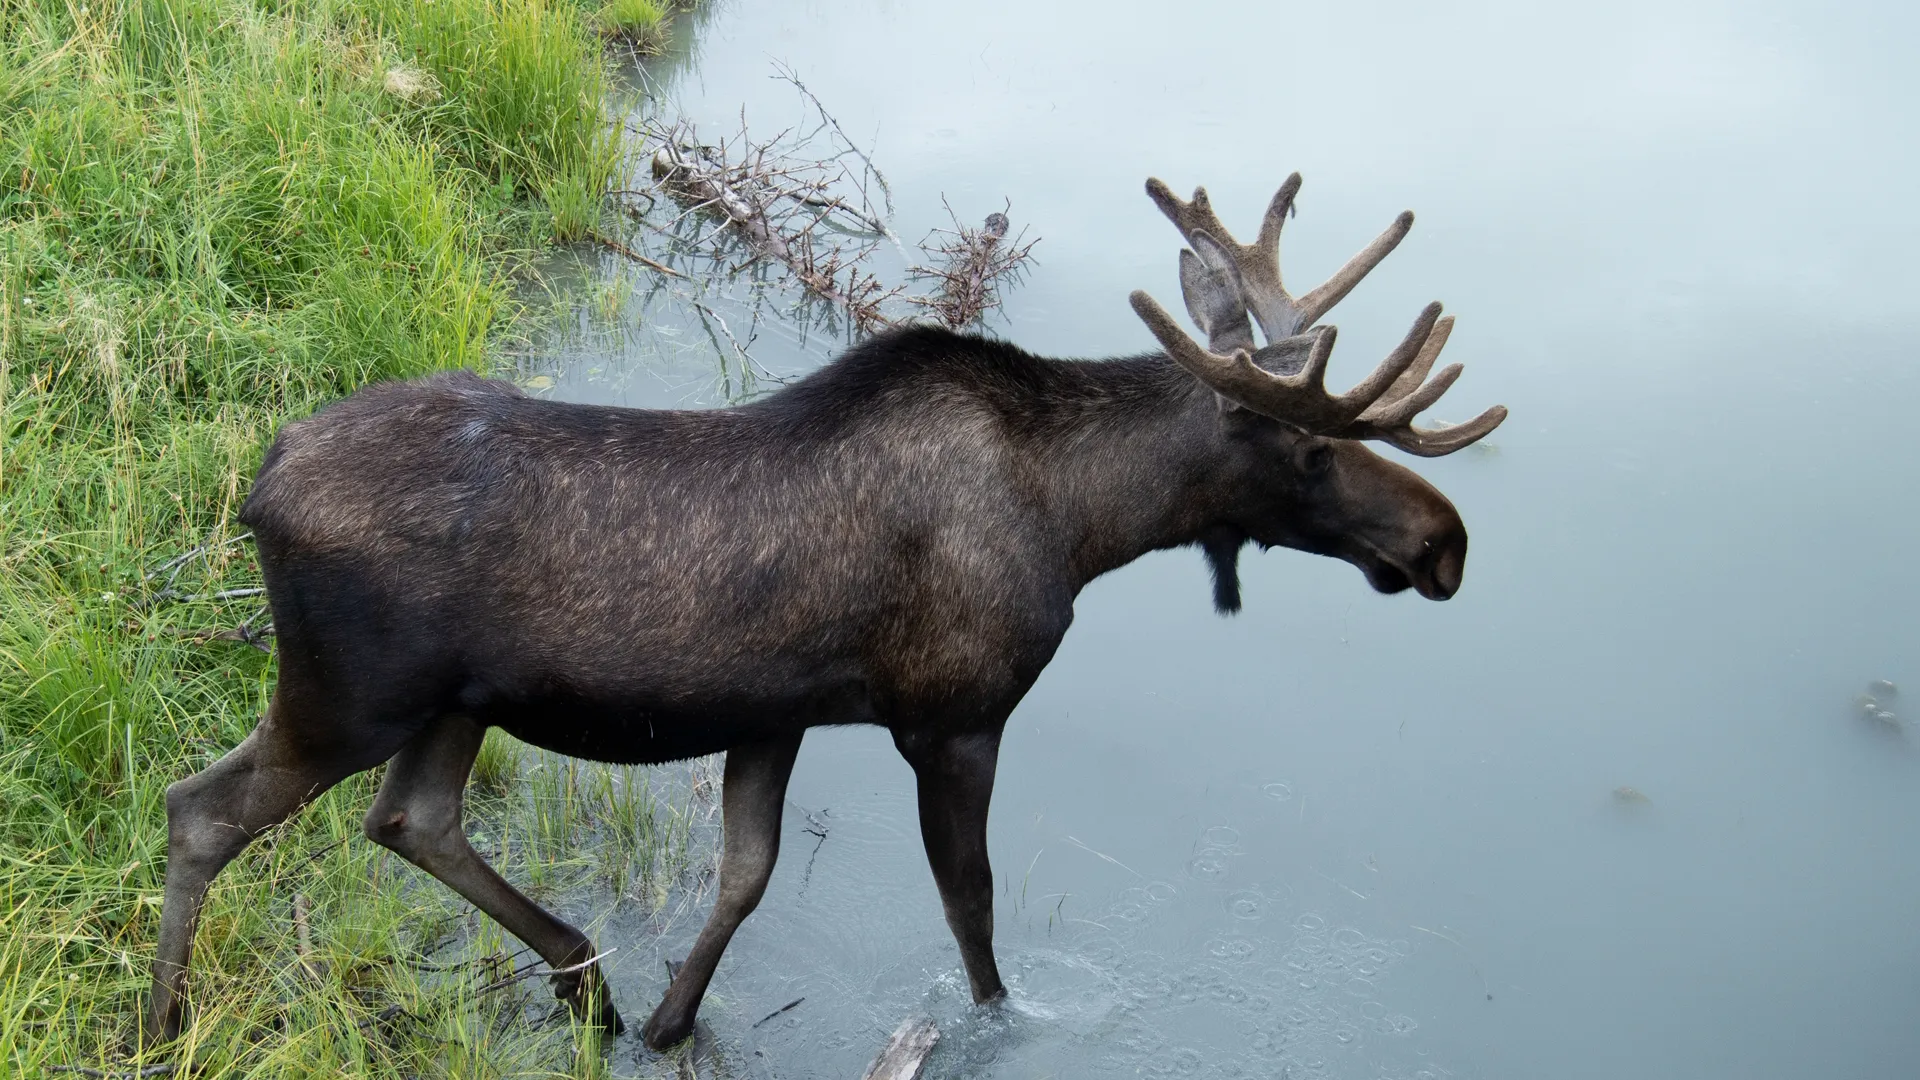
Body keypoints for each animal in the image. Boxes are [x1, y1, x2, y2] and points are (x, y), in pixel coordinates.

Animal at [143, 173, 1506, 1052]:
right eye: (1311, 449)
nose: (1443, 543)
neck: (1086, 525)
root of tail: (261, 482)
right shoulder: (954, 715)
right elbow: (973, 911)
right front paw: (1002, 1022)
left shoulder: (775, 714)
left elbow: (744, 877)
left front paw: (673, 1019)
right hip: (350, 689)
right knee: (201, 808)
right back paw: (164, 1023)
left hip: (450, 703)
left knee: (411, 821)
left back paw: (587, 982)